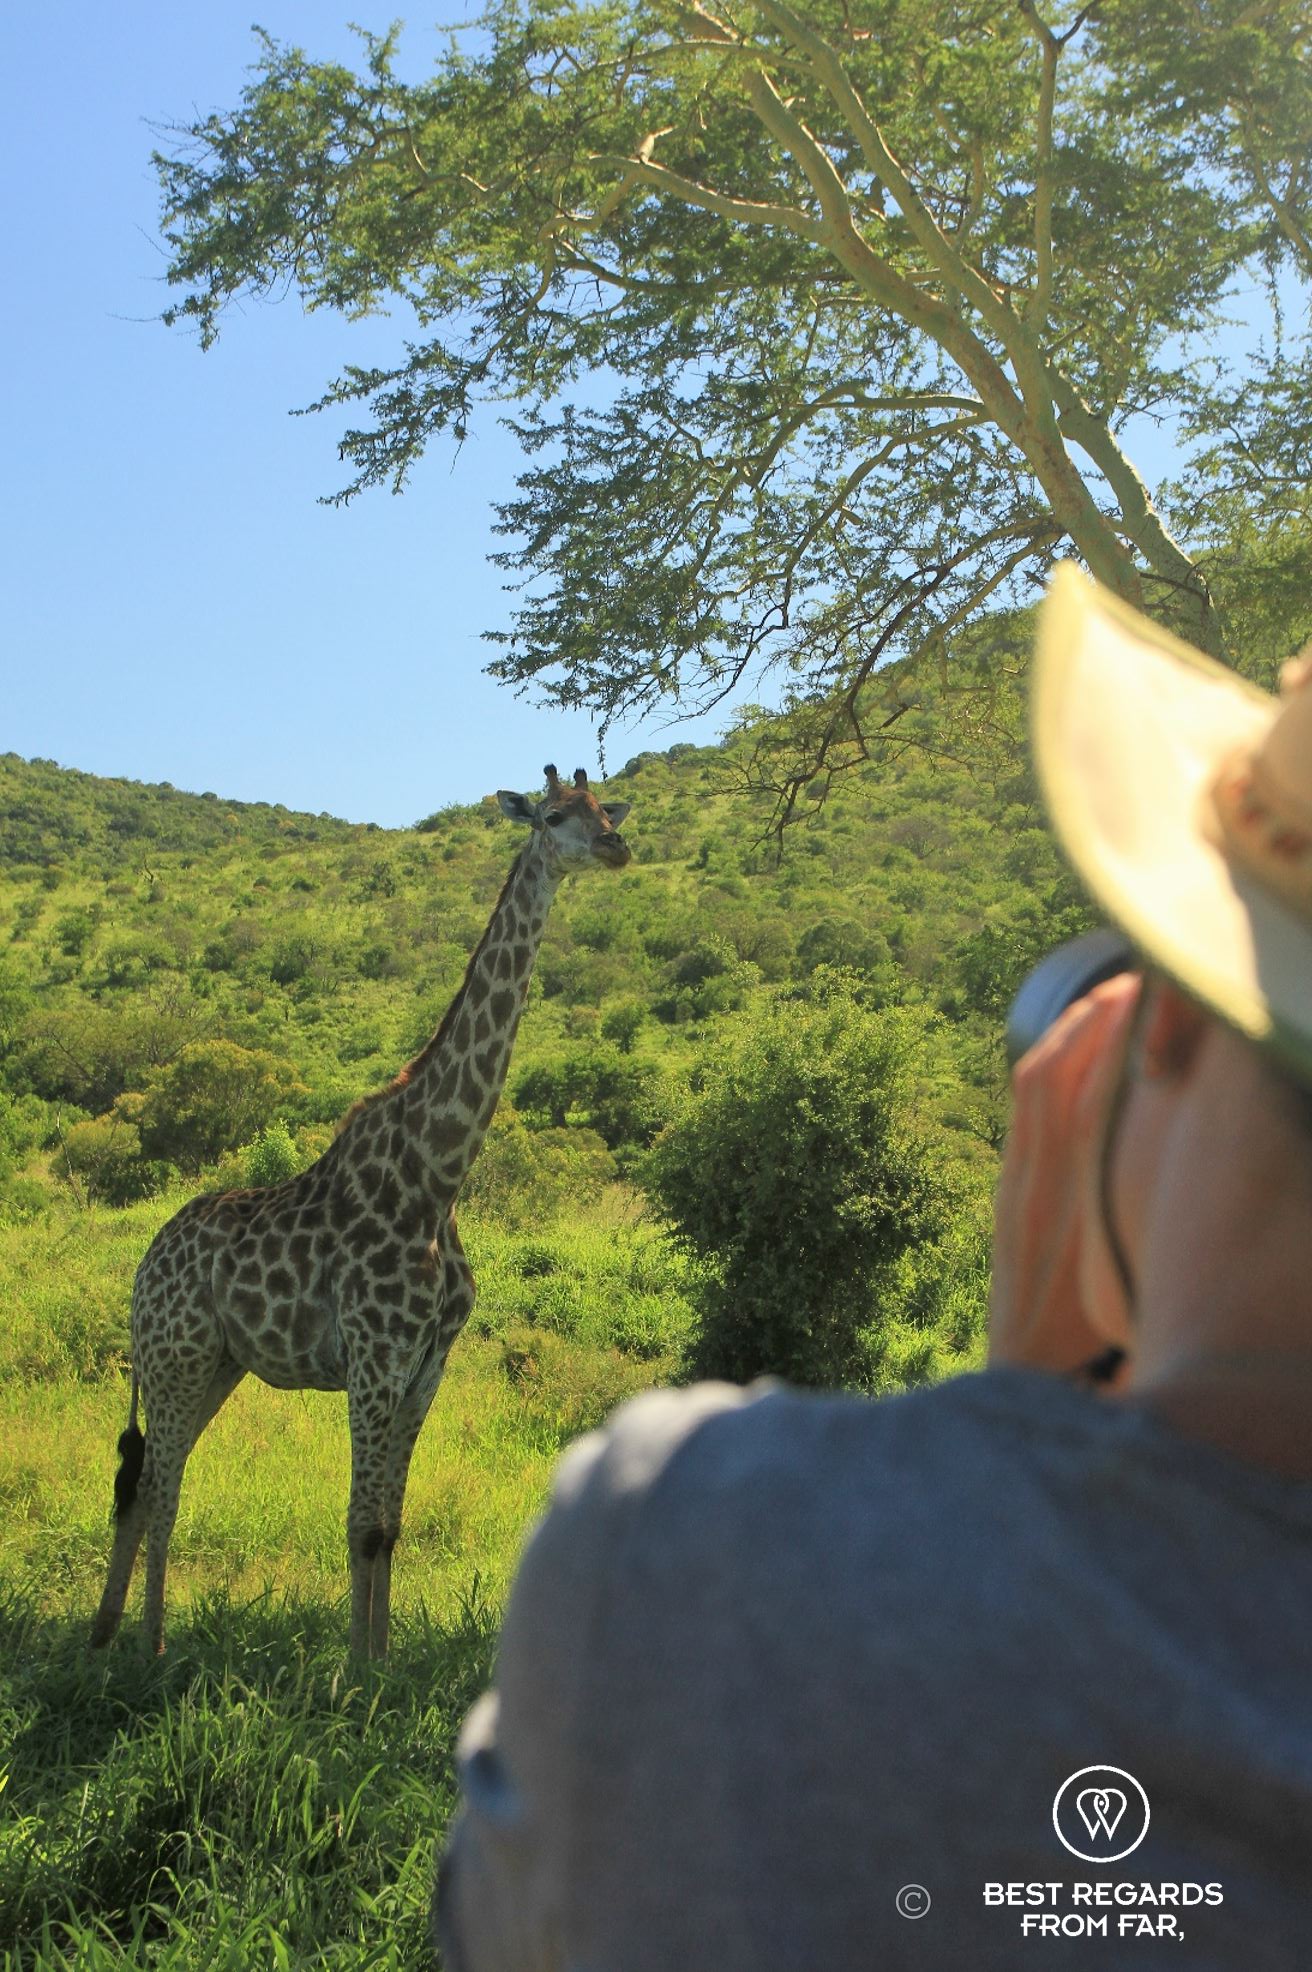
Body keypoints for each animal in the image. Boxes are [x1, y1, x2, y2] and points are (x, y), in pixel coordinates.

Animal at [89, 767, 632, 1658]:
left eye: (605, 808)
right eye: (556, 816)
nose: (617, 846)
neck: (438, 1175)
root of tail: (141, 1267)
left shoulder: (425, 1369)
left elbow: (391, 1526)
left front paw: (383, 1659)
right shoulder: (374, 1360)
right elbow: (359, 1525)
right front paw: (353, 1672)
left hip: (214, 1365)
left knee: (147, 1483)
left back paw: (104, 1637)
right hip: (175, 1358)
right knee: (162, 1488)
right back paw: (153, 1649)